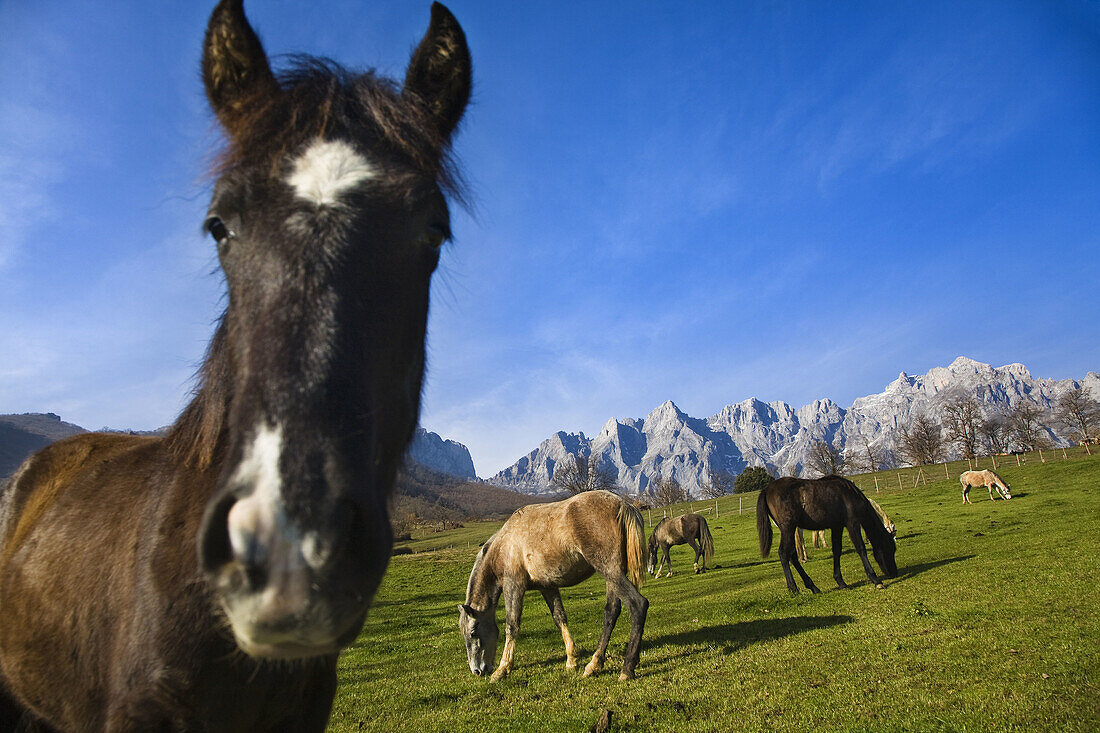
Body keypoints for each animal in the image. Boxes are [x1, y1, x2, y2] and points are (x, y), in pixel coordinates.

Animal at [457, 488, 646, 682]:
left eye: (473, 632)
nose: (477, 670)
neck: (504, 545)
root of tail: (623, 504)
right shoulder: (547, 587)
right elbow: (559, 618)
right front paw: (571, 660)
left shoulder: (513, 586)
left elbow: (512, 625)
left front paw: (502, 669)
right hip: (612, 576)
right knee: (611, 612)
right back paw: (594, 664)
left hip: (610, 571)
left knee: (638, 604)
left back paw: (627, 668)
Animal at [756, 473, 902, 594]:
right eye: (890, 549)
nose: (894, 572)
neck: (850, 494)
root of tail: (767, 489)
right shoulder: (852, 523)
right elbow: (861, 548)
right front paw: (876, 580)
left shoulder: (837, 527)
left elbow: (837, 550)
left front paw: (841, 581)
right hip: (788, 528)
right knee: (783, 553)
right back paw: (793, 588)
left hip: (789, 530)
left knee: (792, 555)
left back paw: (813, 587)